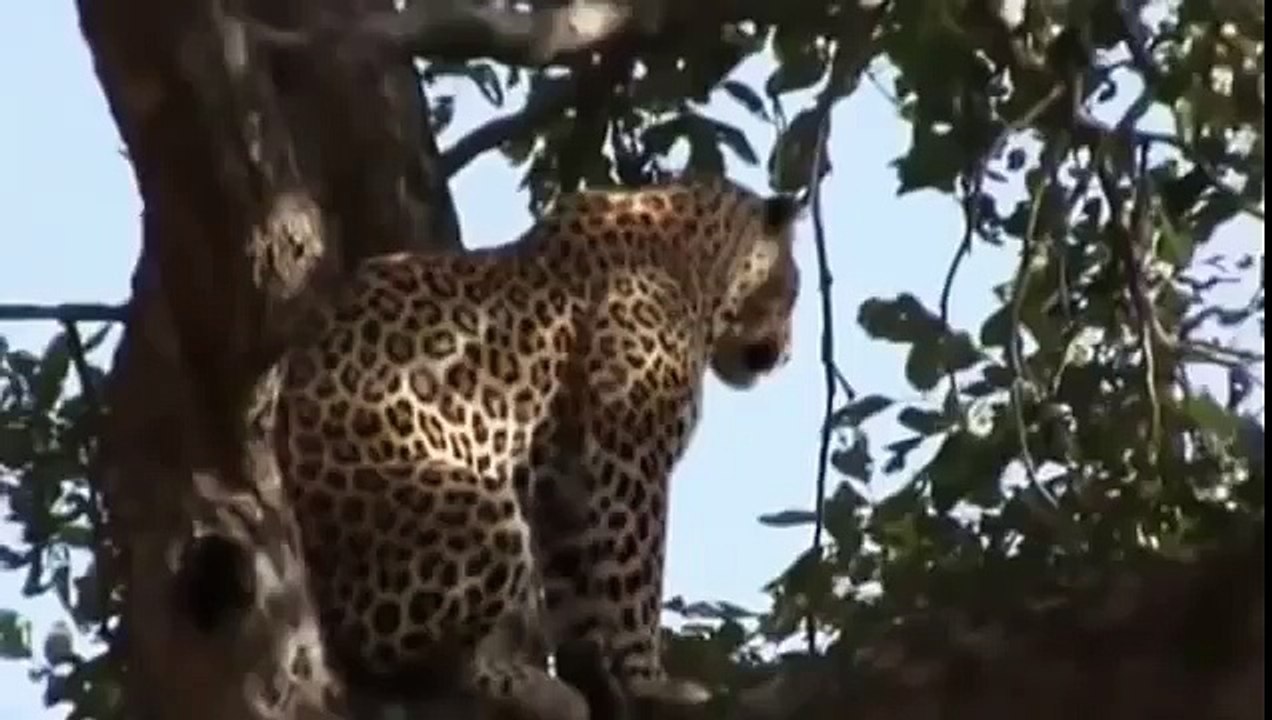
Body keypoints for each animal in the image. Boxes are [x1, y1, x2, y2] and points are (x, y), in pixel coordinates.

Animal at [275, 173, 803, 720]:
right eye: (794, 290)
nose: (786, 354)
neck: (694, 262)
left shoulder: (567, 484)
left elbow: (576, 592)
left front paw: (595, 673)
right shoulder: (631, 456)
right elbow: (638, 576)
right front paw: (652, 683)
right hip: (480, 515)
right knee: (401, 659)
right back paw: (525, 685)